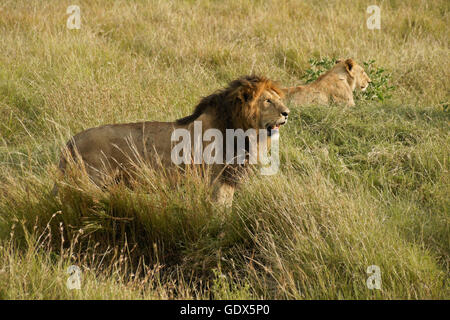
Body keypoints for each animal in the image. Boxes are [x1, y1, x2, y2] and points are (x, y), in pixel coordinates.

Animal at [54, 75, 290, 206]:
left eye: (279, 99)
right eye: (267, 101)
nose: (287, 113)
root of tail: (71, 142)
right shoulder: (217, 181)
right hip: (92, 182)